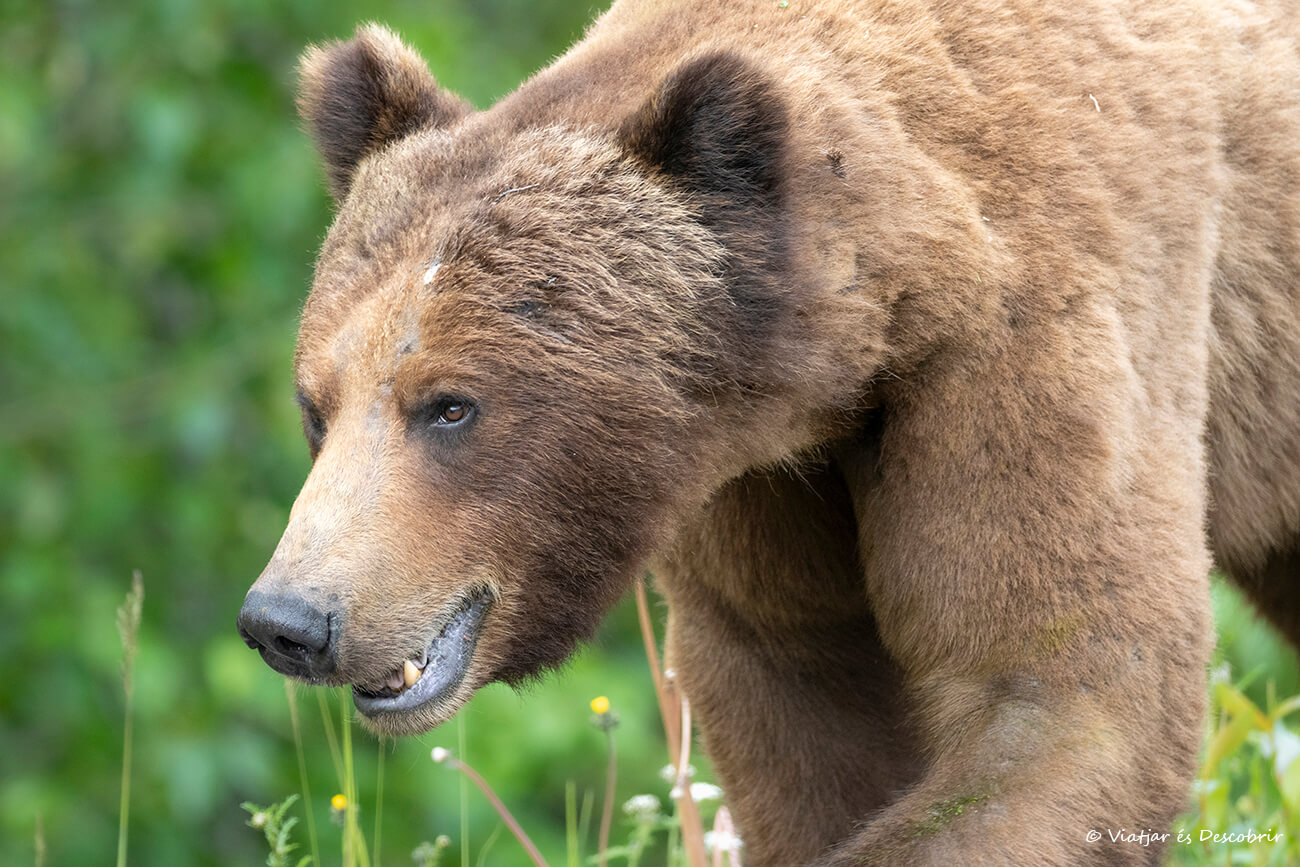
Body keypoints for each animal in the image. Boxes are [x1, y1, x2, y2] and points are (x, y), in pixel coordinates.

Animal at [236, 2, 1300, 864]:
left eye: (451, 403)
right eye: (315, 405)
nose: (290, 619)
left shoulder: (1024, 337)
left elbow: (1056, 687)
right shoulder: (746, 472)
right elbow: (801, 699)